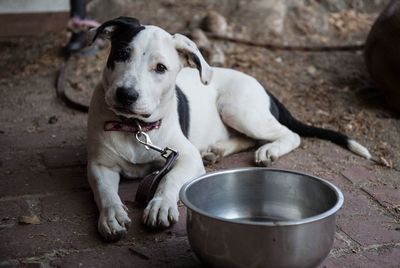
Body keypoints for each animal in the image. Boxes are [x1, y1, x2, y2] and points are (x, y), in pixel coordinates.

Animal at [87, 17, 372, 242]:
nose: (126, 95)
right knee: (247, 139)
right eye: (121, 54)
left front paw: (161, 205)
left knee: (289, 134)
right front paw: (112, 216)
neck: (135, 127)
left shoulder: (185, 157)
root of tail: (262, 86)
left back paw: (269, 151)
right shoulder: (99, 165)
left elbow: (169, 179)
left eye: (160, 68)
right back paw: (218, 150)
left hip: (236, 108)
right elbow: (105, 191)